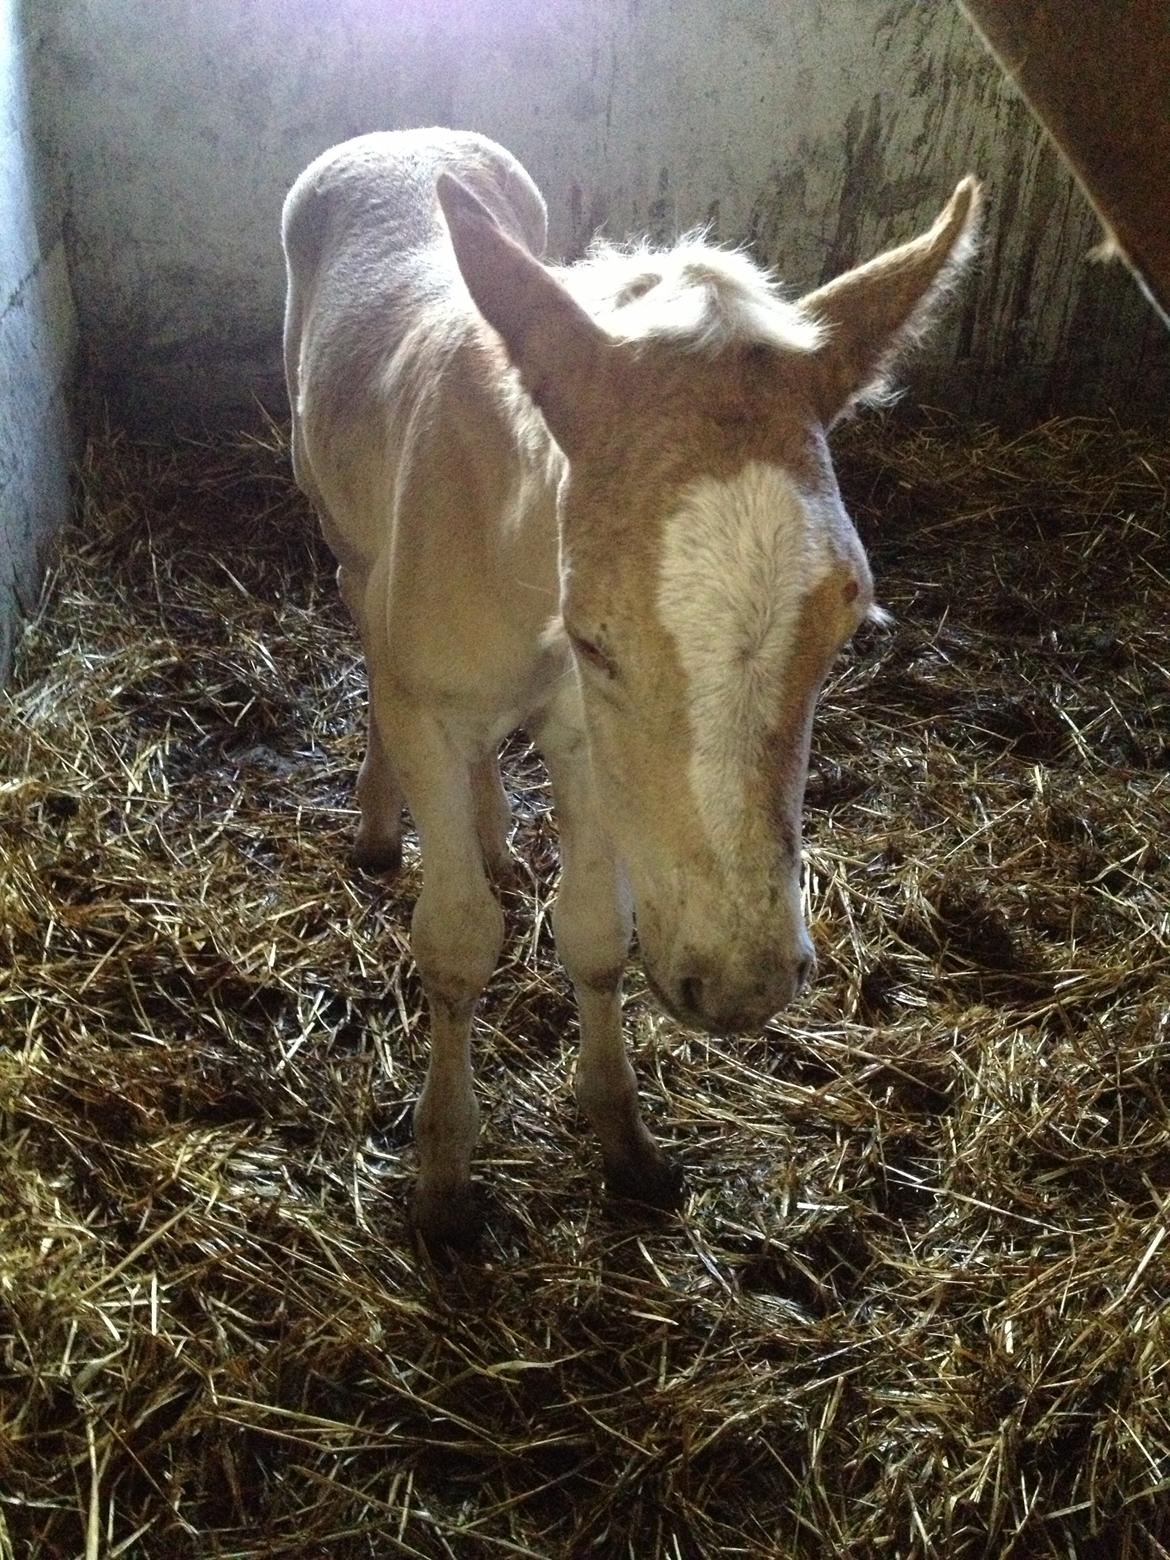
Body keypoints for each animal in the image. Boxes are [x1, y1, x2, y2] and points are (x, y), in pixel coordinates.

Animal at [282, 131, 979, 1254]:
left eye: (845, 626)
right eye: (598, 639)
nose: (743, 987)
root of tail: (397, 136)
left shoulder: (586, 738)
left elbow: (596, 935)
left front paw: (625, 1138)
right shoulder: (440, 707)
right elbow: (457, 941)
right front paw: (444, 1182)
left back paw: (496, 838)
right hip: (337, 524)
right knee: (359, 612)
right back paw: (384, 824)